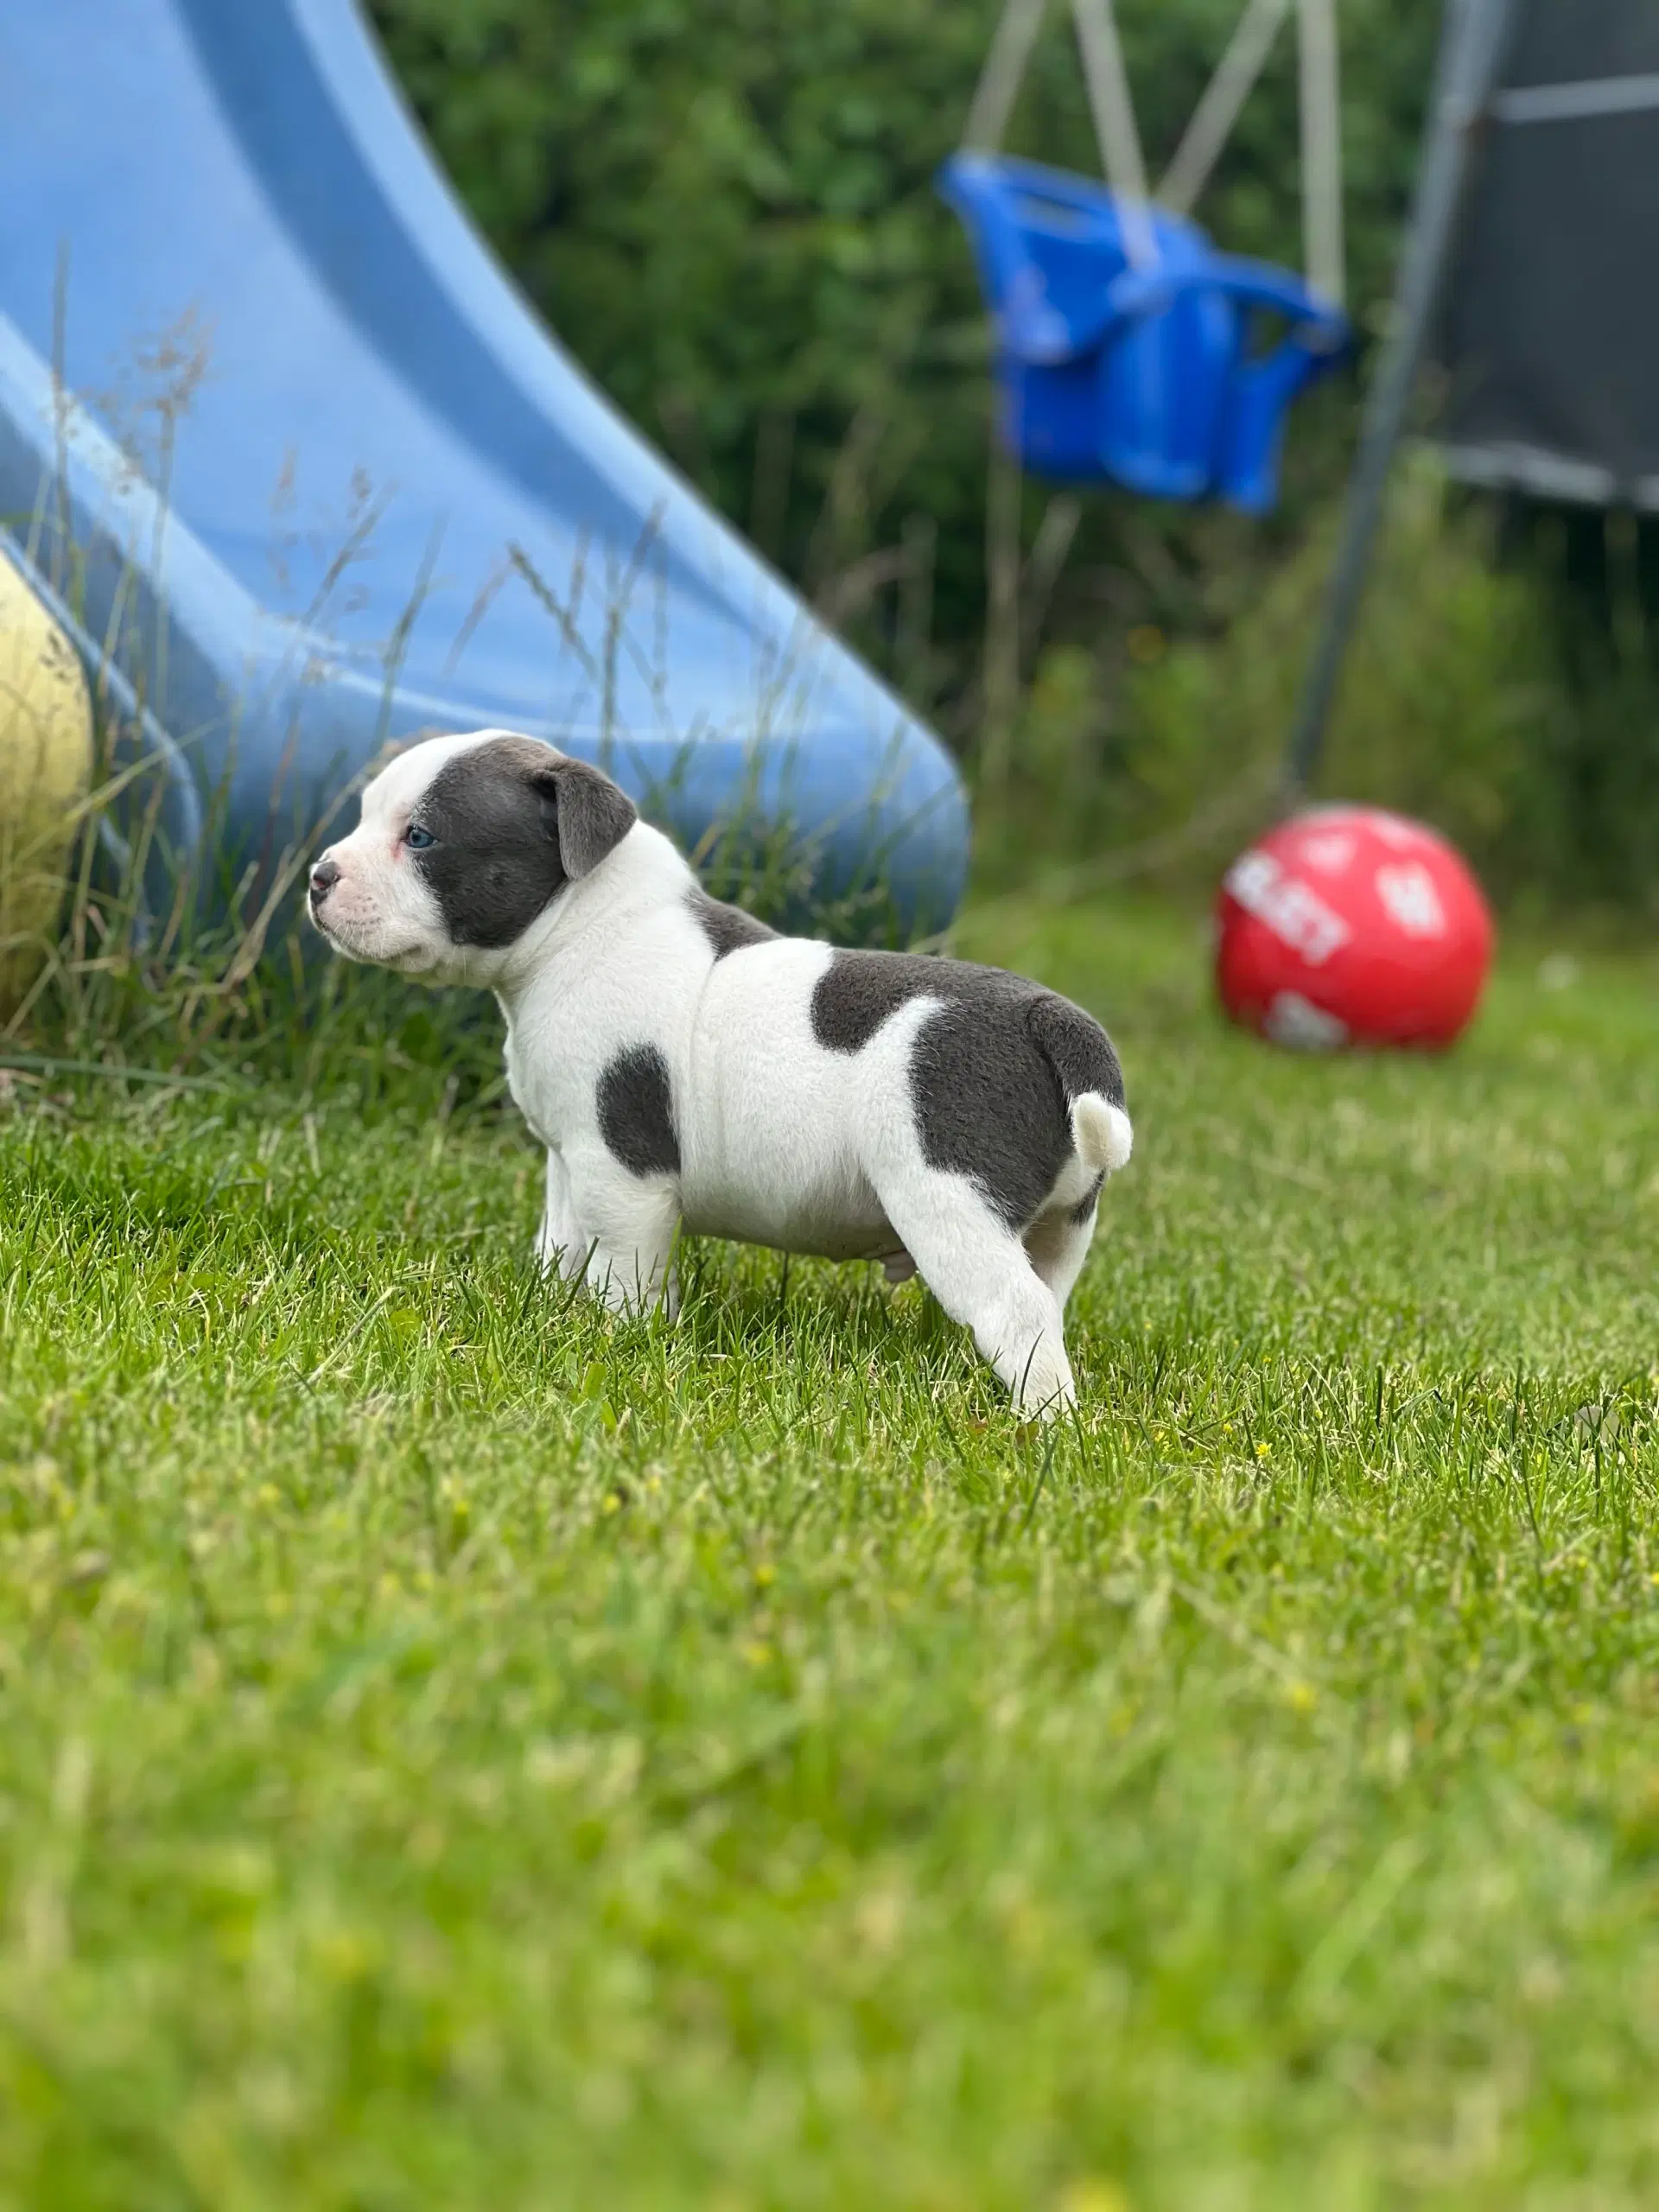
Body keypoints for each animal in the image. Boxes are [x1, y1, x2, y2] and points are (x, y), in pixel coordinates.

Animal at [307, 729, 1141, 1415]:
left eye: (421, 837)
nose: (318, 876)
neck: (581, 926)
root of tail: (1048, 1017)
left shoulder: (624, 1171)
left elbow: (625, 1272)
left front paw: (619, 1339)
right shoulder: (570, 1157)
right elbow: (562, 1241)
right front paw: (548, 1306)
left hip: (949, 1200)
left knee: (1016, 1312)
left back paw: (1043, 1427)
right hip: (1063, 1224)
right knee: (1046, 1298)